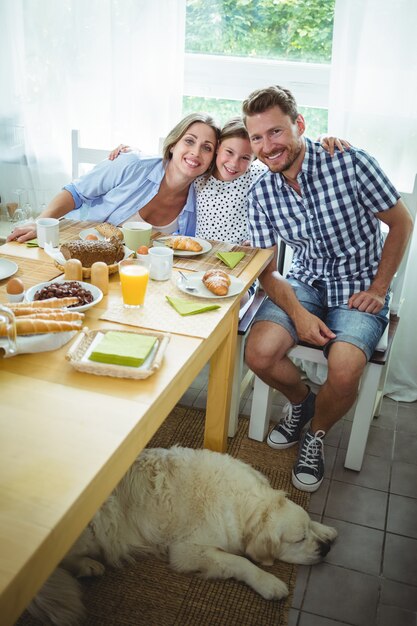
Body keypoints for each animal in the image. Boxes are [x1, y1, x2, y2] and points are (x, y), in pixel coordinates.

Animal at [28, 446, 334, 620]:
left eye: (307, 531)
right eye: (298, 540)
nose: (325, 550)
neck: (241, 500)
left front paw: (327, 530)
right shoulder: (187, 550)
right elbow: (240, 561)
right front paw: (268, 582)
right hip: (104, 519)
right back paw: (88, 566)